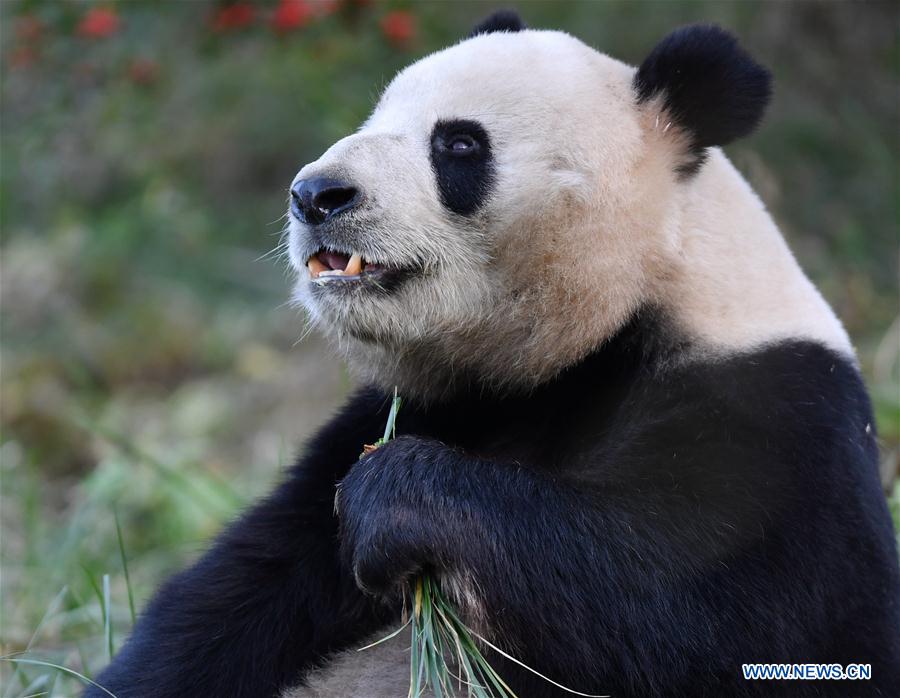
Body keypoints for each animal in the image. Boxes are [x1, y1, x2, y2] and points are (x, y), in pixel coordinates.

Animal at [88, 10, 900, 698]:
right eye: (374, 120)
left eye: (457, 144)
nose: (317, 194)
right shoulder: (417, 409)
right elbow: (234, 597)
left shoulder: (769, 417)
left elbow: (722, 621)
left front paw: (396, 499)